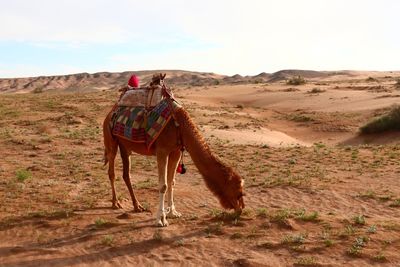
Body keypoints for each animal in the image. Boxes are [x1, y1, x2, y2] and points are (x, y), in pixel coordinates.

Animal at [102, 74, 244, 227]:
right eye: (238, 191)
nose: (241, 209)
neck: (180, 125)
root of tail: (110, 112)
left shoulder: (175, 151)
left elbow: (172, 181)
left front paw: (173, 213)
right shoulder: (162, 151)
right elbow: (163, 185)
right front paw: (161, 219)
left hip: (125, 146)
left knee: (126, 174)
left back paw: (137, 206)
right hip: (110, 140)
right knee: (111, 171)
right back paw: (116, 203)